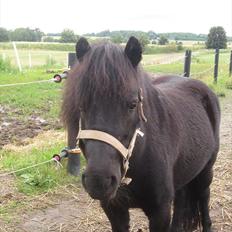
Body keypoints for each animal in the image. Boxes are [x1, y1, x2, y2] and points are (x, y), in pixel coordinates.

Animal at [62, 37, 221, 231]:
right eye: (81, 106)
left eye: (133, 104)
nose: (99, 181)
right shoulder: (114, 209)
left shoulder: (160, 212)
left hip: (206, 172)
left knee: (204, 200)